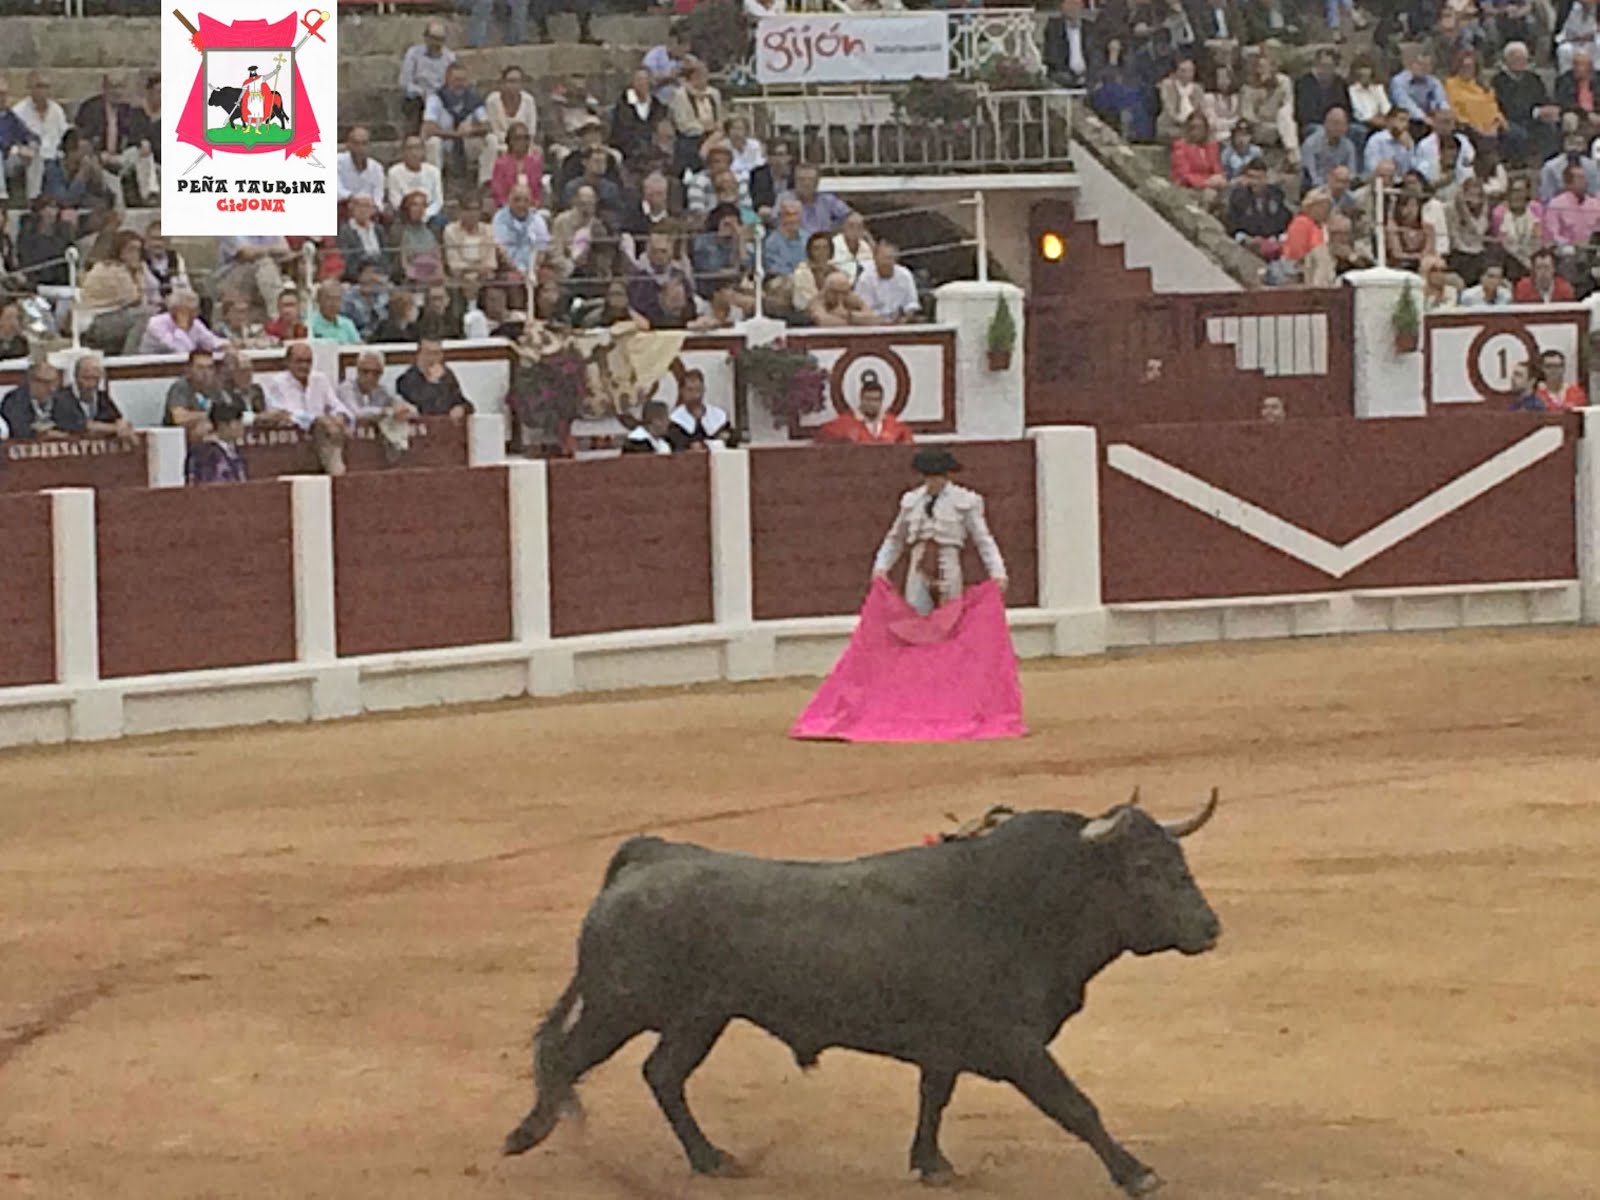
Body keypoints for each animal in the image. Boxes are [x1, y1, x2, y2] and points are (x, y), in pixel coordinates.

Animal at [505, 793, 1216, 1196]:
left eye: (1181, 861)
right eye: (1146, 869)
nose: (1211, 928)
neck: (1019, 904)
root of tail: (651, 853)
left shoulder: (946, 1044)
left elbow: (934, 1098)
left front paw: (932, 1165)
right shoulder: (1015, 1044)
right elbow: (1076, 1106)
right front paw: (1137, 1174)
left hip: (699, 1017)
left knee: (662, 1074)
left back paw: (713, 1160)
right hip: (620, 1005)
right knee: (568, 1059)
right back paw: (526, 1135)